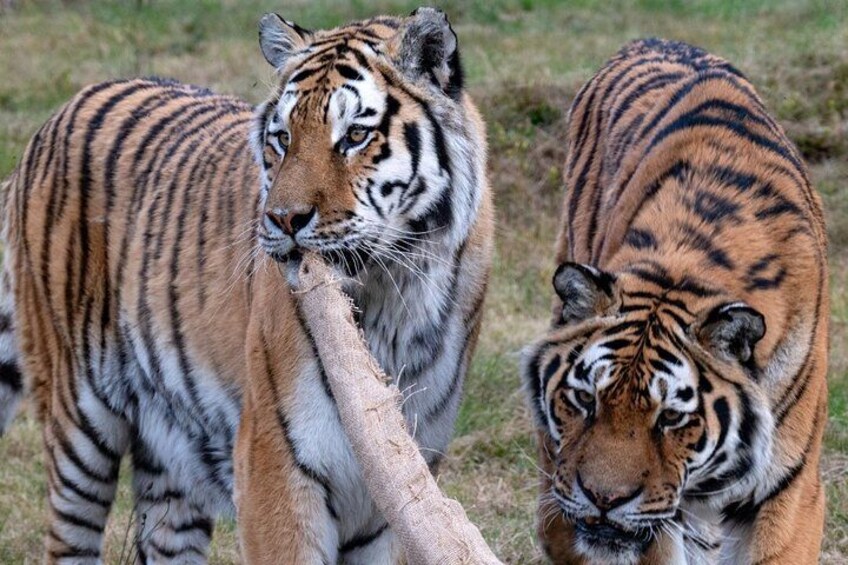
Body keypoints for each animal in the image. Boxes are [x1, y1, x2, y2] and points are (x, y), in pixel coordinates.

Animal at [0, 8, 493, 563]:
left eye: (353, 136)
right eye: (282, 138)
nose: (284, 219)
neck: (394, 295)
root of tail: (60, 112)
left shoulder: (394, 494)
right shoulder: (275, 465)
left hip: (172, 453)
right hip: (77, 416)